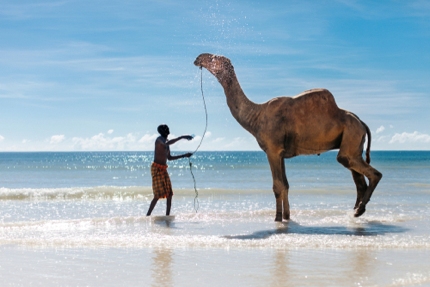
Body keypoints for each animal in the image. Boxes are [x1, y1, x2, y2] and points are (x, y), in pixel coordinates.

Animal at [195, 53, 382, 222]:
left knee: (367, 170)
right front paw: (286, 216)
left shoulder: (272, 150)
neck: (256, 116)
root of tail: (361, 122)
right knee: (357, 177)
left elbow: (277, 186)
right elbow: (285, 184)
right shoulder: (281, 153)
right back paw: (356, 211)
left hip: (351, 133)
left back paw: (359, 210)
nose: (198, 58)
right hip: (354, 138)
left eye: (214, 58)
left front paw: (277, 219)